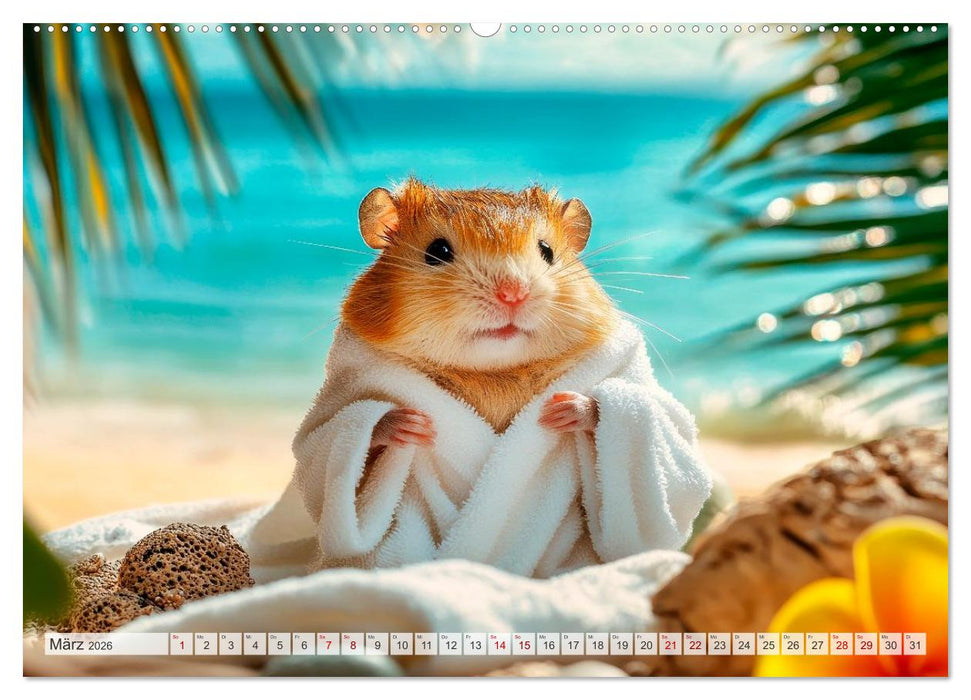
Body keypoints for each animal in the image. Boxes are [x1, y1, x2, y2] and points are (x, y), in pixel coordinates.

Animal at [342, 178, 619, 450]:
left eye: (547, 250)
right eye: (437, 251)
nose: (513, 294)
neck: (495, 374)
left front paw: (561, 408)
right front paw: (414, 423)